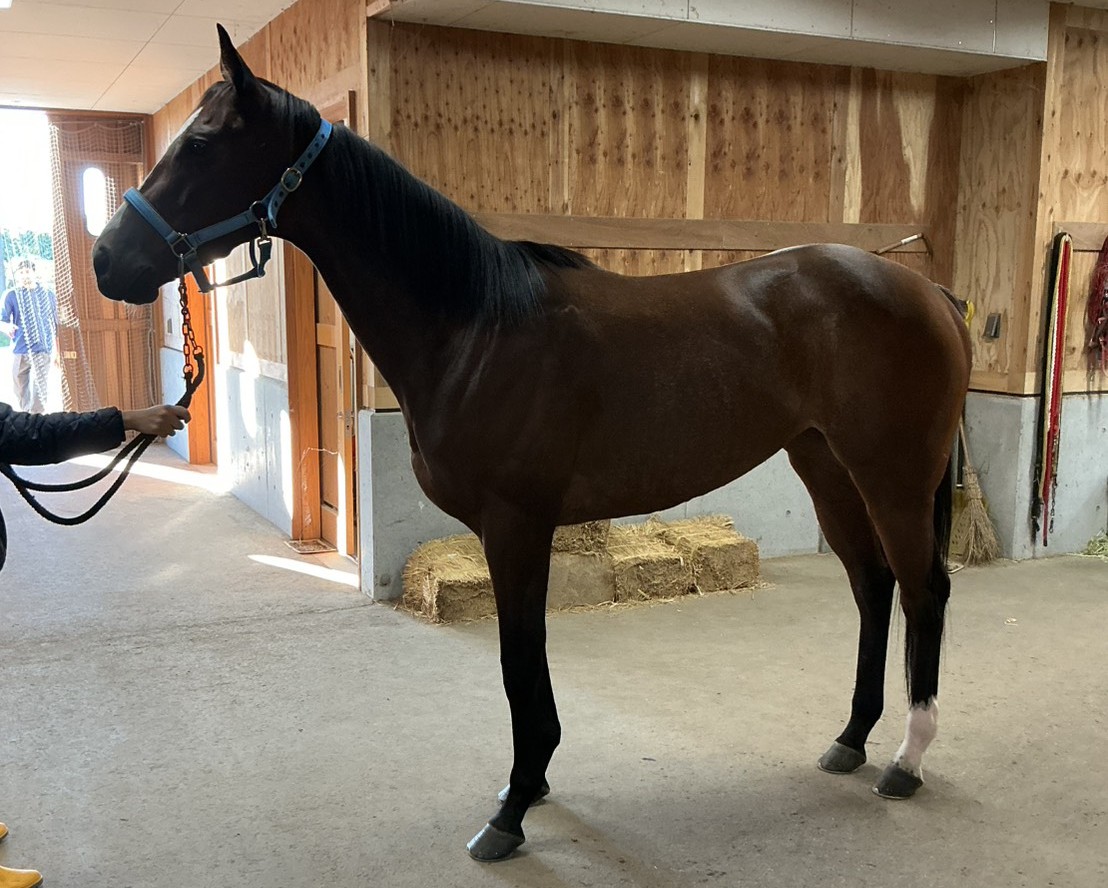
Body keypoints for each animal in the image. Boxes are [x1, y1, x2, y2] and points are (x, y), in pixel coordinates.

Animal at [92, 25, 972, 862]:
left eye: (202, 144)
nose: (107, 259)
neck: (475, 328)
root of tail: (930, 290)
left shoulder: (515, 524)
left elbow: (519, 664)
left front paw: (512, 810)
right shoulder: (519, 528)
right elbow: (527, 663)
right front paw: (533, 786)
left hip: (891, 474)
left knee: (923, 590)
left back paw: (906, 760)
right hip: (826, 465)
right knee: (873, 587)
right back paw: (850, 740)